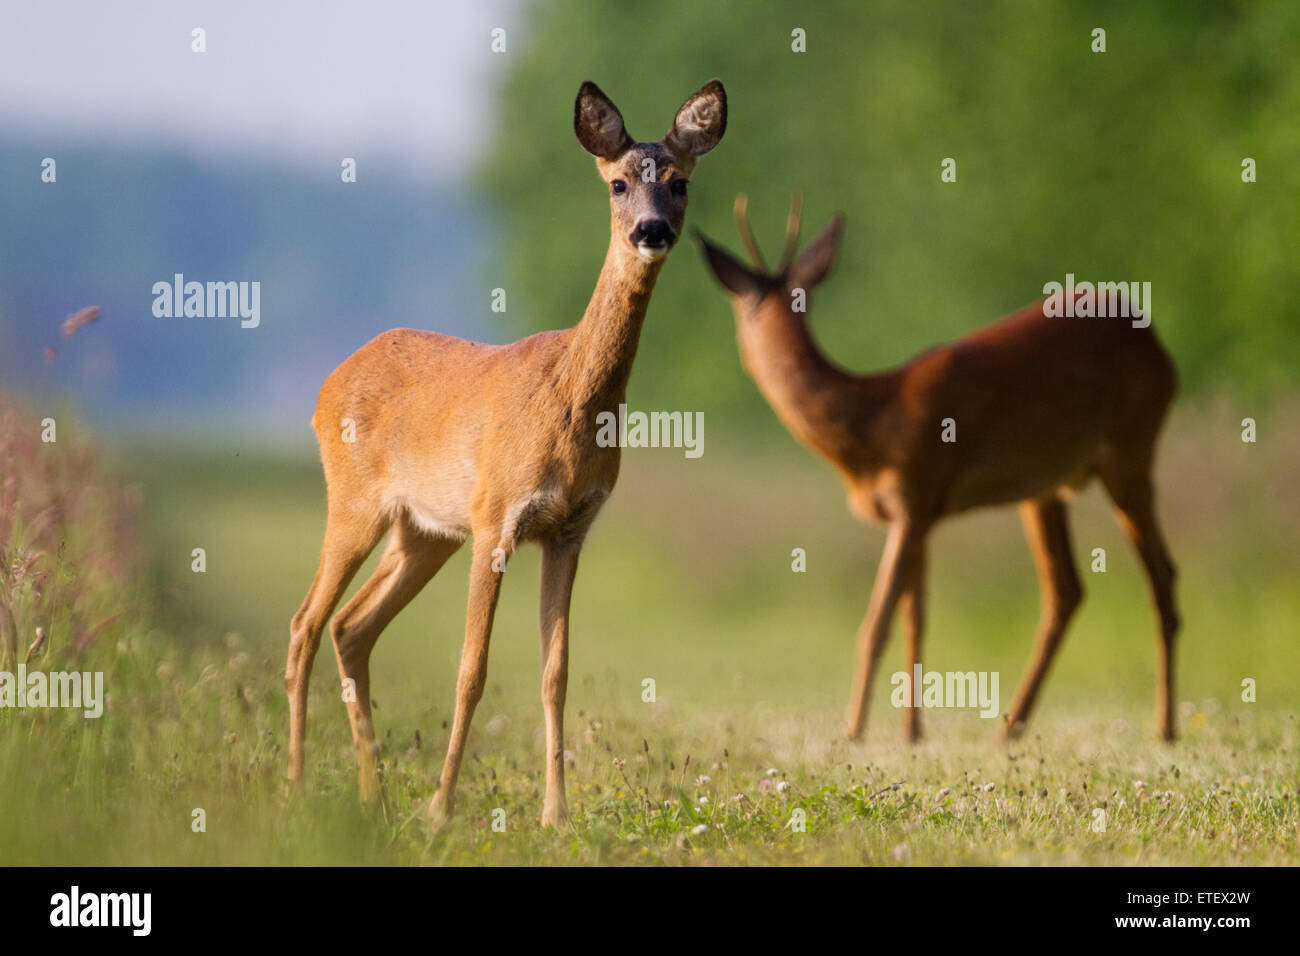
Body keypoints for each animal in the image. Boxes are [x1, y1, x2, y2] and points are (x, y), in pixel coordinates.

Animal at [285, 80, 727, 830]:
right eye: (617, 183)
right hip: (355, 501)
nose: (651, 231)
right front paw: (440, 810)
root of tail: (326, 383)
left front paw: (556, 815)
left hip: (426, 531)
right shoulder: (497, 516)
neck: (572, 400)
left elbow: (556, 673)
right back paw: (293, 783)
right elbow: (472, 668)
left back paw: (373, 797)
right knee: (305, 624)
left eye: (680, 183)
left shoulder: (570, 527)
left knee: (351, 626)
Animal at [695, 194, 1180, 743]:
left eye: (740, 307)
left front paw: (853, 733)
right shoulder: (921, 516)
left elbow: (875, 623)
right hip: (1045, 489)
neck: (871, 419)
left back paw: (1164, 729)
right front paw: (911, 733)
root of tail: (1161, 349)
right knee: (1066, 591)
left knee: (1161, 575)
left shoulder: (913, 500)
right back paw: (1009, 729)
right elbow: (916, 619)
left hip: (1131, 454)